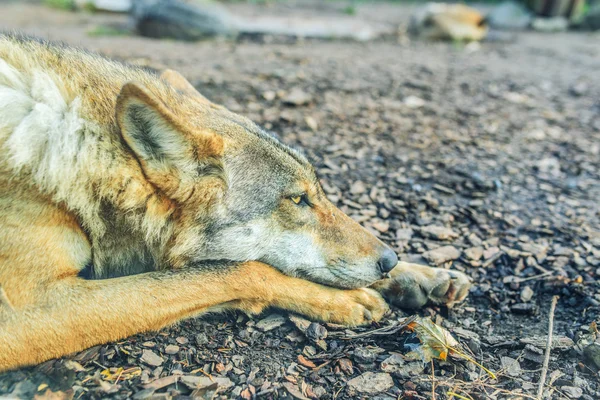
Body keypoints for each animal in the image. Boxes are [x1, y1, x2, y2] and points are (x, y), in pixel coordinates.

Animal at [0, 35, 472, 372]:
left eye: (318, 192)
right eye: (298, 200)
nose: (388, 259)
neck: (82, 149)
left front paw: (422, 274)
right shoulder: (31, 310)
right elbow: (237, 271)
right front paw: (344, 300)